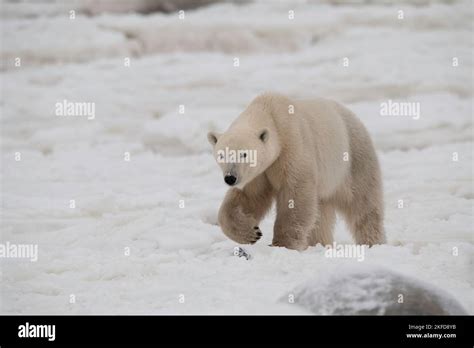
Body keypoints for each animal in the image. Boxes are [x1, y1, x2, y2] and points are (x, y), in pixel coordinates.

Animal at [207, 92, 386, 250]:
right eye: (222, 154)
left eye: (244, 154)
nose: (230, 178)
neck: (270, 114)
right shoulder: (259, 172)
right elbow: (250, 197)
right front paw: (251, 233)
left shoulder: (293, 147)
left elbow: (295, 194)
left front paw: (283, 244)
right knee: (320, 216)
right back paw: (319, 244)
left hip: (354, 158)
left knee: (363, 205)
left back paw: (372, 242)